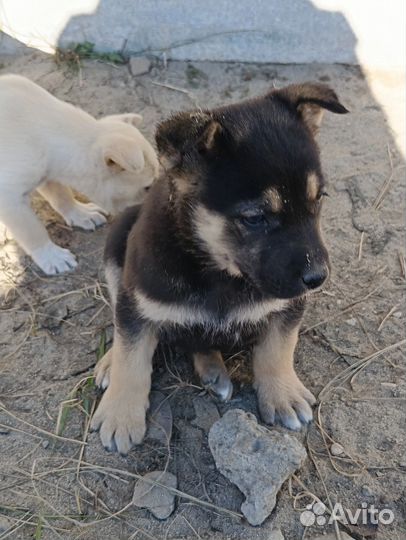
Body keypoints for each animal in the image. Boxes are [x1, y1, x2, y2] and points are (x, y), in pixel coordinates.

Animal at [0, 74, 159, 274]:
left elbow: (62, 197)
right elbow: (32, 230)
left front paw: (82, 214)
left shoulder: (49, 173)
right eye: (147, 187)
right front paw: (52, 256)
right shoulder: (9, 197)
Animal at [90, 83, 348, 456]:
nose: (318, 278)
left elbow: (278, 347)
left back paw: (214, 371)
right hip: (117, 242)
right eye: (255, 218)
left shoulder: (287, 304)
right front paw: (121, 413)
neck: (219, 271)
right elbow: (132, 355)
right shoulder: (137, 302)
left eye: (319, 199)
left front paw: (282, 393)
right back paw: (112, 361)